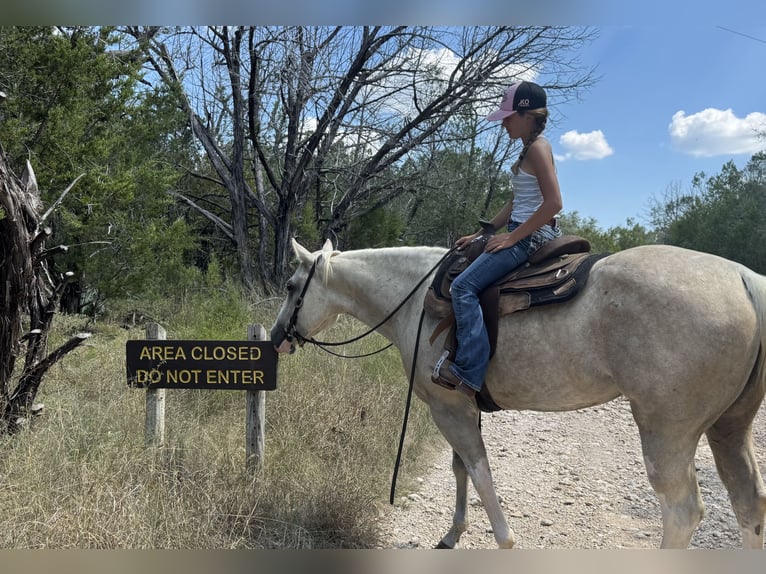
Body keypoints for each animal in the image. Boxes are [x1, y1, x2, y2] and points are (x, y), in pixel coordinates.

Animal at [269, 238, 766, 549]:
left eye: (292, 286)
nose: (278, 337)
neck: (416, 299)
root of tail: (743, 277)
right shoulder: (461, 407)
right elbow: (460, 469)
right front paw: (452, 534)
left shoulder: (449, 410)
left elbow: (479, 471)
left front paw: (504, 541)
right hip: (729, 428)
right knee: (749, 506)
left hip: (668, 432)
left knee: (682, 512)